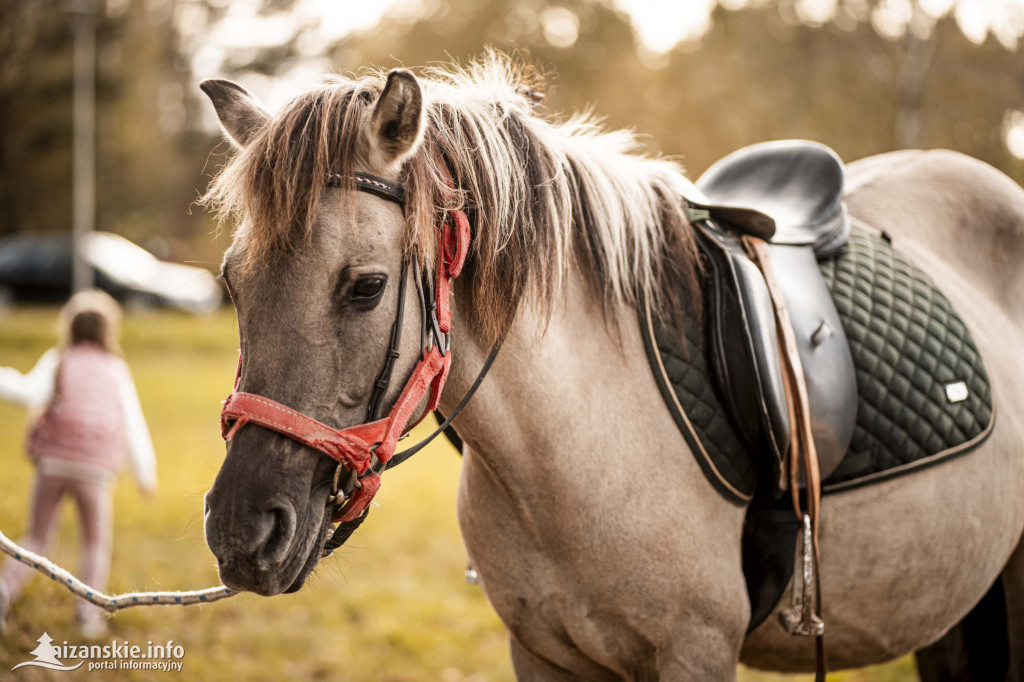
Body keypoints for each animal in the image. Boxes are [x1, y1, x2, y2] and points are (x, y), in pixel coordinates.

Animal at [197, 55, 1024, 675]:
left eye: (365, 287)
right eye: (233, 283)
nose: (242, 530)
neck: (573, 448)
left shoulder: (694, 651)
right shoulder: (542, 653)